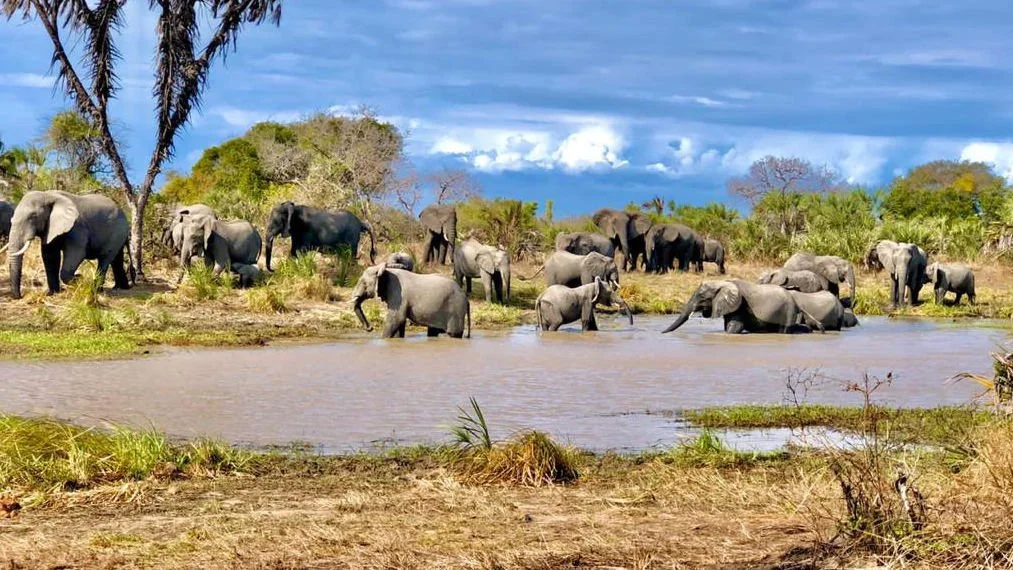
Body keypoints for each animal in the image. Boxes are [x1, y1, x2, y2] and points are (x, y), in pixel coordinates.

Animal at [662, 279, 814, 334]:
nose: (662, 333)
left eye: (702, 298)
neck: (722, 283)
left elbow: (735, 327)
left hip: (788, 309)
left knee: (784, 329)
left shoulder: (740, 304)